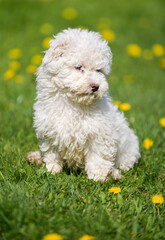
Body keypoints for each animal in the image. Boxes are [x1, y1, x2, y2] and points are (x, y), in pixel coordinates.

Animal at [27, 28, 141, 182]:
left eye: (98, 70)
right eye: (79, 67)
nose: (96, 86)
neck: (74, 104)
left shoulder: (101, 136)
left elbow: (98, 158)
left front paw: (98, 178)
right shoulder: (49, 133)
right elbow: (52, 155)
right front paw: (51, 171)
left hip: (128, 152)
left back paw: (114, 174)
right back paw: (36, 157)